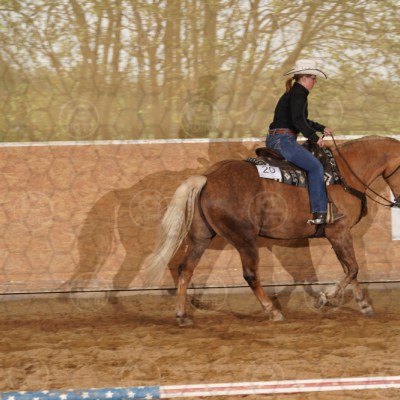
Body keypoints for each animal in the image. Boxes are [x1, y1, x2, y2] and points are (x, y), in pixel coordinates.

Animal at [143, 136, 400, 324]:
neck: (344, 174)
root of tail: (208, 177)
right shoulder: (338, 231)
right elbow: (352, 267)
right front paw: (325, 298)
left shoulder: (339, 234)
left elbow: (350, 268)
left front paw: (364, 304)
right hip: (244, 238)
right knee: (250, 274)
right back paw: (273, 311)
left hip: (201, 237)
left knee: (185, 269)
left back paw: (182, 315)